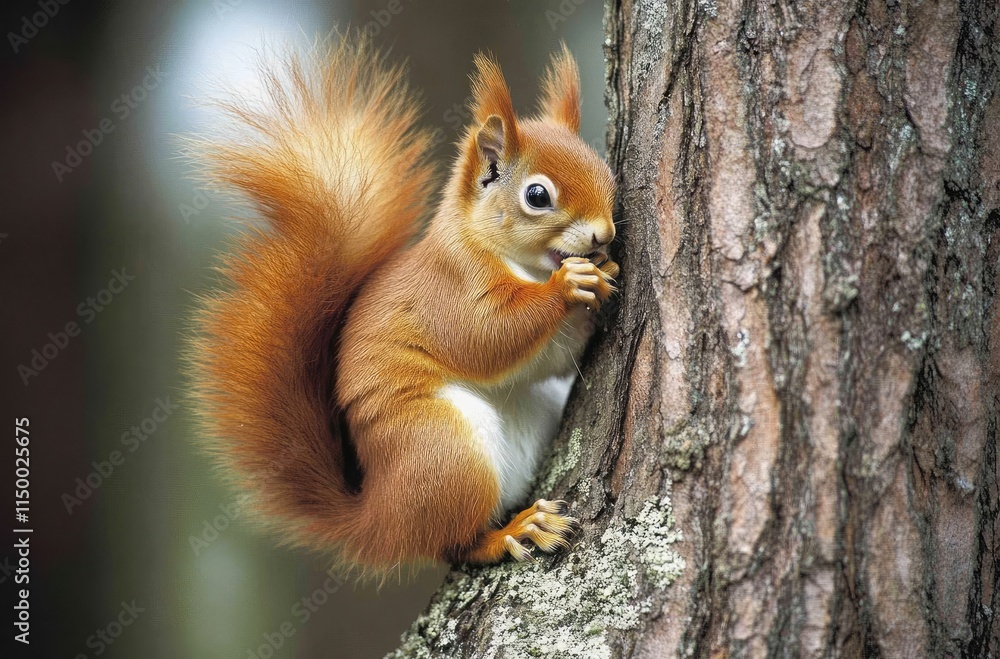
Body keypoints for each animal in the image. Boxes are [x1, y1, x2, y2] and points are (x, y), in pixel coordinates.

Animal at [189, 37, 618, 572]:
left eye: (606, 171)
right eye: (537, 195)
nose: (605, 235)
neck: (512, 261)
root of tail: (381, 520)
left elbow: (551, 361)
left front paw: (602, 278)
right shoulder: (447, 291)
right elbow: (487, 335)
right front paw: (569, 284)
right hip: (441, 450)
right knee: (454, 543)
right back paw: (515, 531)